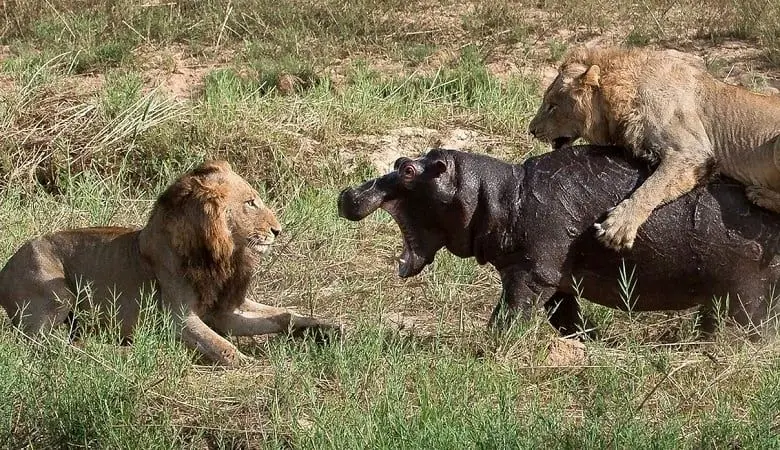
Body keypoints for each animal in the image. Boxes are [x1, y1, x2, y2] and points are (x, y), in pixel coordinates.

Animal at [0, 161, 334, 366]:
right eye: (251, 203)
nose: (278, 230)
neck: (224, 255)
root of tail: (5, 268)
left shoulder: (223, 310)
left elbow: (281, 315)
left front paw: (325, 327)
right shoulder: (176, 318)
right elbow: (223, 348)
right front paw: (253, 365)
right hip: (55, 290)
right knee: (43, 344)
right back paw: (119, 351)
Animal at [338, 146, 780, 340]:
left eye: (408, 170)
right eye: (399, 162)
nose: (348, 193)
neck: (500, 195)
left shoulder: (531, 274)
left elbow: (509, 314)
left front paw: (487, 348)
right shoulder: (554, 278)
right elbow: (565, 318)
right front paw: (590, 342)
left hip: (746, 292)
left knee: (747, 327)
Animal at [528, 46, 780, 250]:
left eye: (552, 106)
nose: (531, 130)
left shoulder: (691, 150)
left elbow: (652, 187)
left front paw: (619, 226)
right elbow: (665, 185)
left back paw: (759, 193)